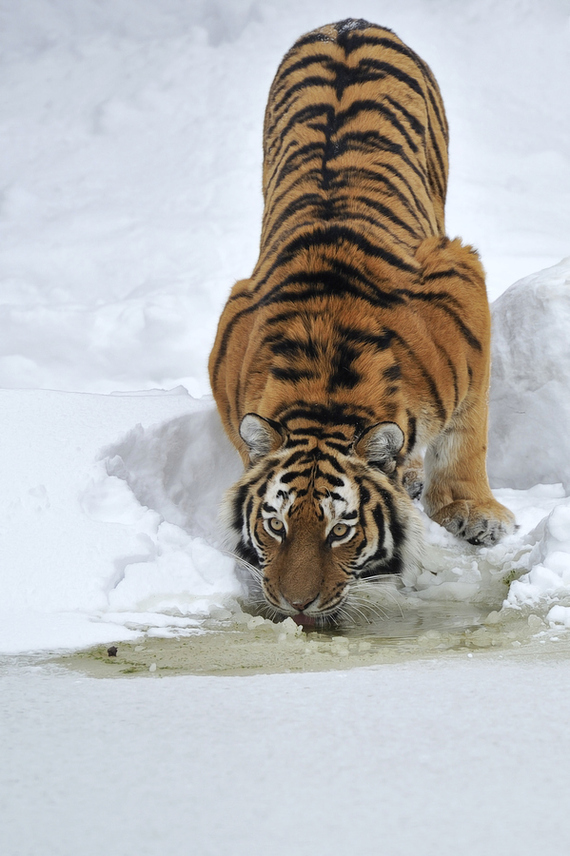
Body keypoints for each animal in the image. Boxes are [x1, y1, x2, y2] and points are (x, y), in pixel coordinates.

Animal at [209, 16, 516, 624]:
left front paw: (472, 511)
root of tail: (346, 23)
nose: (296, 604)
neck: (325, 390)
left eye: (341, 529)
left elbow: (467, 433)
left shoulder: (462, 279)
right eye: (275, 524)